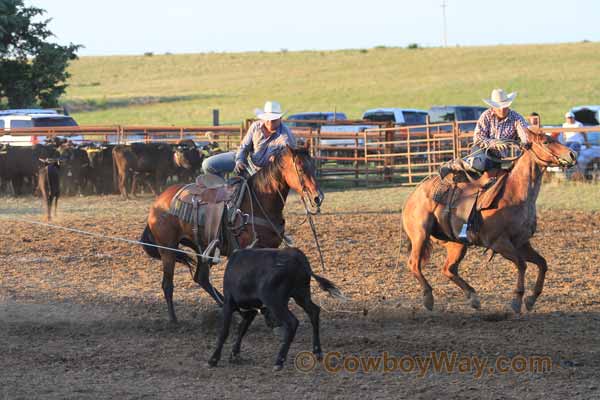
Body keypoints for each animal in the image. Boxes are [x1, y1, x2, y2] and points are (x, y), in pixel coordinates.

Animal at [140, 145, 324, 324]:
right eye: (300, 168)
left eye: (313, 167)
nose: (318, 197)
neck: (258, 200)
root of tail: (158, 202)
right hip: (167, 249)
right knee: (167, 284)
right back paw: (173, 319)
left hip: (201, 248)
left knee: (201, 278)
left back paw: (234, 311)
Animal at [209, 248, 344, 370]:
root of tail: (297, 256)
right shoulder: (251, 311)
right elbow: (242, 329)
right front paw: (234, 354)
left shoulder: (229, 303)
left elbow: (224, 332)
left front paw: (214, 359)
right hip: (301, 294)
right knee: (314, 311)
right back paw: (317, 351)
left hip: (275, 300)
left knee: (292, 321)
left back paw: (279, 361)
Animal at [404, 131, 576, 312]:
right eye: (546, 141)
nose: (572, 154)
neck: (516, 193)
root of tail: (415, 193)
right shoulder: (500, 243)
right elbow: (522, 265)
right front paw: (516, 301)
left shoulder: (522, 243)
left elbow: (542, 263)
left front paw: (531, 299)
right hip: (420, 235)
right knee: (414, 264)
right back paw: (428, 297)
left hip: (456, 244)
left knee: (448, 269)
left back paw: (473, 297)